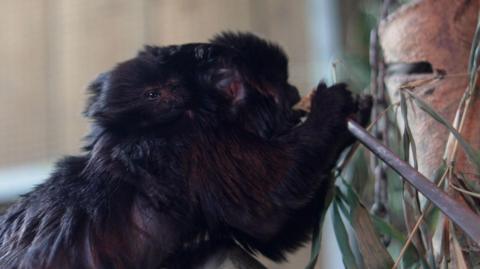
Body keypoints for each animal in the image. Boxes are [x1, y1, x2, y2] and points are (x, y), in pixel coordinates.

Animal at [0, 32, 372, 266]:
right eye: (283, 87)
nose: (295, 92)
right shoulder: (197, 146)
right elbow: (269, 210)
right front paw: (332, 108)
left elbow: (268, 234)